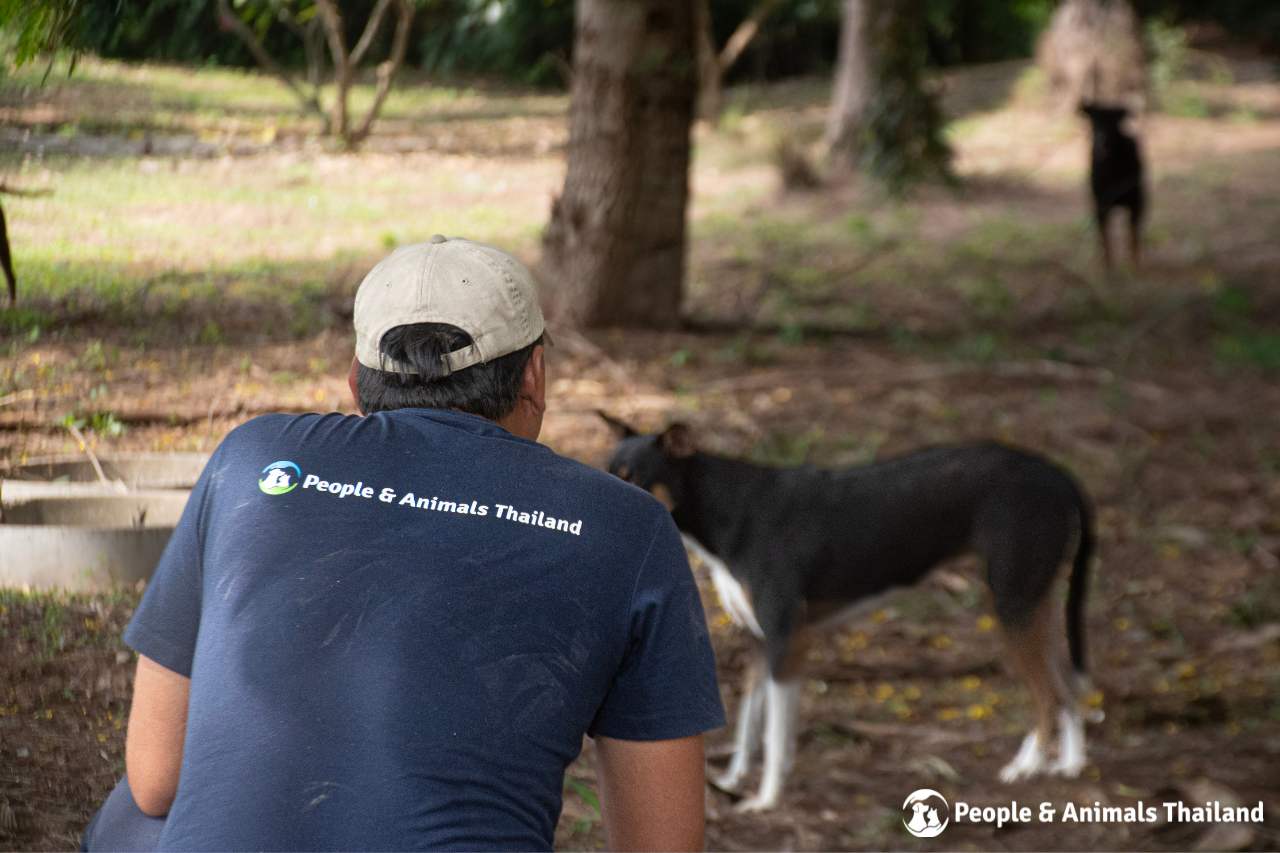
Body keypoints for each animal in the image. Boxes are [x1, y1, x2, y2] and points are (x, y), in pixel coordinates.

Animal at [601, 417, 1100, 809]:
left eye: (634, 477)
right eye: (607, 474)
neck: (728, 511)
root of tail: (1056, 473)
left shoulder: (785, 639)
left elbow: (772, 733)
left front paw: (765, 800)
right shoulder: (761, 641)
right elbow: (749, 725)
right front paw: (733, 780)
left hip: (1012, 604)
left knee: (1048, 696)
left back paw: (1026, 766)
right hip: (1034, 601)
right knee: (1065, 687)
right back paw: (1070, 763)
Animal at [1075, 103, 1146, 268]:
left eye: (1113, 123)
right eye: (1093, 122)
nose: (1100, 143)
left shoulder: (1136, 204)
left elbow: (1133, 238)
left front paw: (1134, 265)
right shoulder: (1101, 206)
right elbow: (1105, 241)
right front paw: (1107, 267)